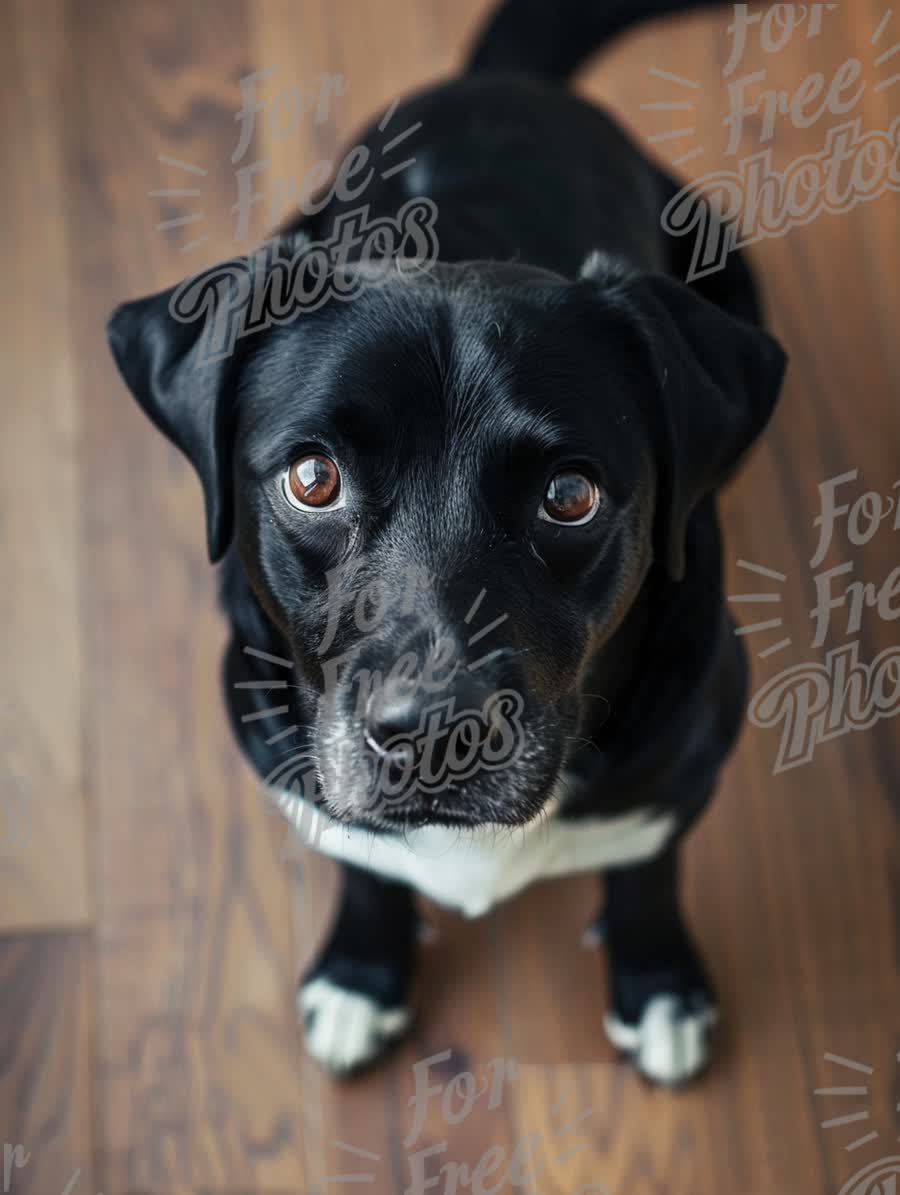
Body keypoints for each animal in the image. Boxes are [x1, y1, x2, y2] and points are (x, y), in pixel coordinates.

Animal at [108, 0, 784, 1085]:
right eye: (312, 477)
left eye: (569, 494)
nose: (435, 733)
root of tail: (503, 81)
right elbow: (363, 862)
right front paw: (362, 970)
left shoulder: (688, 753)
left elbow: (646, 865)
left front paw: (658, 982)